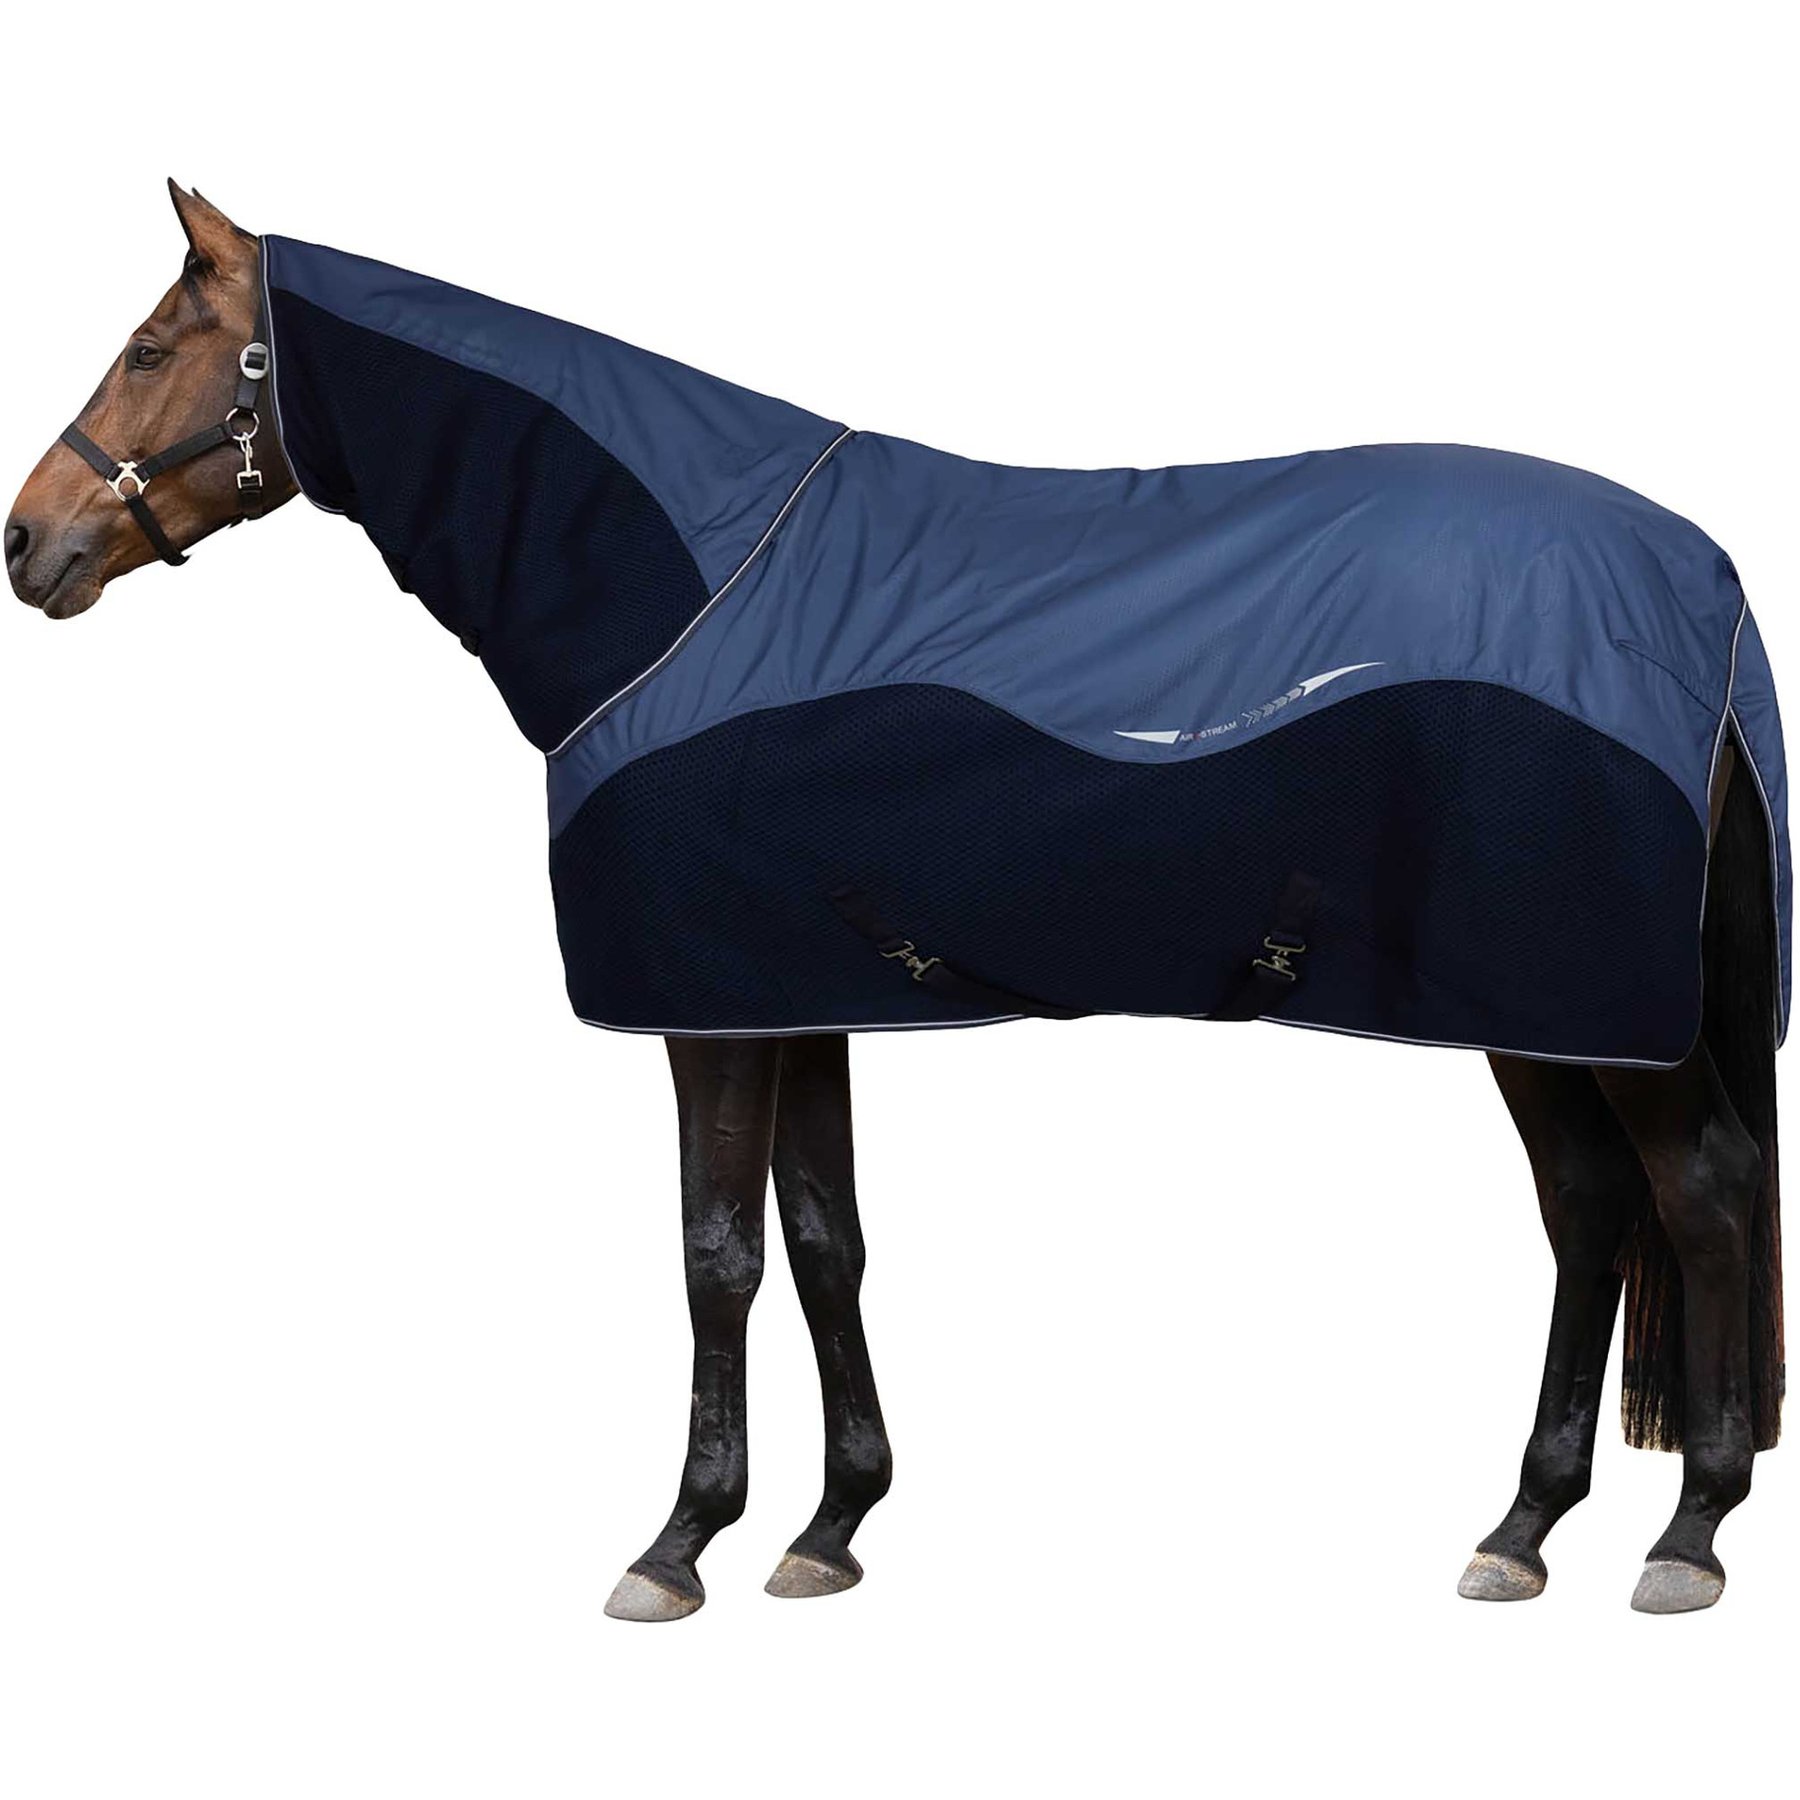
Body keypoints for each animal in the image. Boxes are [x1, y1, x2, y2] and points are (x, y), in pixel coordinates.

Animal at [7, 183, 1784, 1619]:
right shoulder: (789, 992)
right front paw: (829, 1527)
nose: (29, 544)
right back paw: (1525, 1527)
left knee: (1697, 1200)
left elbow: (716, 1255)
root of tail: (1698, 579)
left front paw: (679, 1544)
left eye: (154, 346)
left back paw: (1689, 1533)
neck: (687, 594)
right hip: (1530, 1012)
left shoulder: (707, 1012)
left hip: (1588, 1012)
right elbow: (824, 1241)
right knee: (1592, 1214)